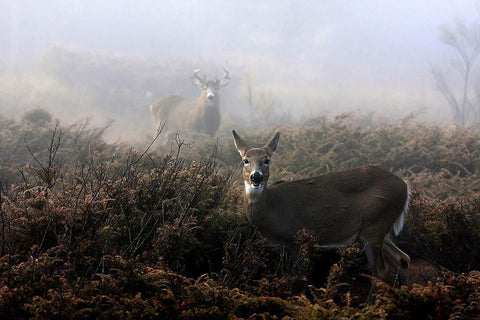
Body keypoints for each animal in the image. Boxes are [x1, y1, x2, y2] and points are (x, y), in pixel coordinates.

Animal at [232, 130, 408, 280]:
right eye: (245, 160)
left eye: (267, 160)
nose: (256, 177)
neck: (271, 208)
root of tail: (405, 185)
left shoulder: (297, 240)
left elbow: (301, 275)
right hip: (378, 229)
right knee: (403, 258)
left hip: (376, 225)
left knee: (381, 271)